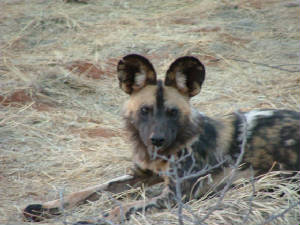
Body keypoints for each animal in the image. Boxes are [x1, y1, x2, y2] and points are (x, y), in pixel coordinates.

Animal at [24, 54, 300, 223]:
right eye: (145, 110)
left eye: (172, 112)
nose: (156, 140)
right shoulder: (139, 175)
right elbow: (90, 190)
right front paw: (46, 207)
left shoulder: (175, 196)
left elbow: (119, 207)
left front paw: (90, 220)